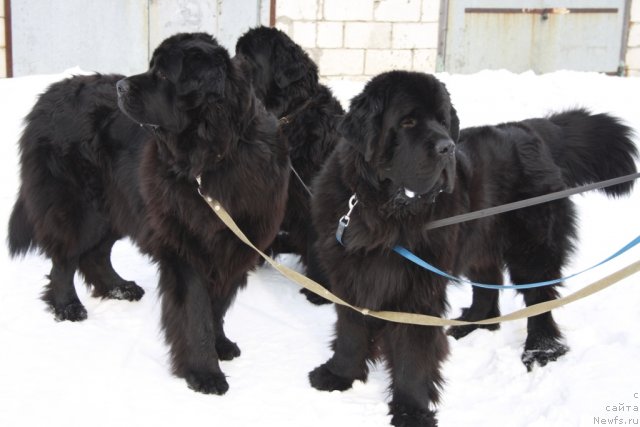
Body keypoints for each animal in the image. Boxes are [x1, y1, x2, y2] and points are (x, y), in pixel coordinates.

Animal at [6, 32, 288, 394]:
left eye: (164, 74)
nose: (121, 86)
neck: (217, 154)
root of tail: (49, 94)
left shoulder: (234, 247)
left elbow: (218, 307)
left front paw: (221, 345)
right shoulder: (187, 248)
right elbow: (196, 313)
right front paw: (204, 373)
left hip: (117, 206)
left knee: (94, 254)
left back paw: (119, 288)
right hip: (80, 209)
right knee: (64, 259)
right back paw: (67, 306)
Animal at [308, 72, 636, 426]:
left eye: (442, 122)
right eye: (408, 122)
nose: (447, 148)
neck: (385, 210)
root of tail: (531, 129)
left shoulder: (417, 289)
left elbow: (412, 352)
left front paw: (412, 410)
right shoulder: (351, 276)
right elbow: (351, 331)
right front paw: (339, 375)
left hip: (532, 249)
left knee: (540, 299)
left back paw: (541, 351)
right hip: (479, 240)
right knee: (489, 285)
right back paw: (476, 323)